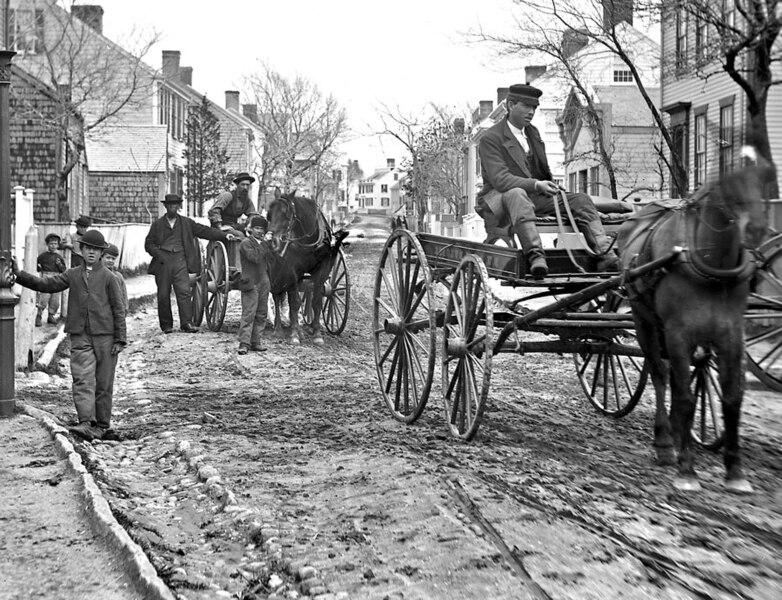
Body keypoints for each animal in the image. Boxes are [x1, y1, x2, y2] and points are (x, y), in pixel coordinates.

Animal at [266, 190, 346, 344]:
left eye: (287, 214)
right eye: (269, 215)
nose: (272, 242)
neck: (310, 240)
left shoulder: (322, 269)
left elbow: (316, 301)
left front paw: (317, 334)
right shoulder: (292, 270)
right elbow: (295, 302)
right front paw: (294, 335)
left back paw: (299, 329)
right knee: (277, 296)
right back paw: (279, 328)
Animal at [620, 152, 776, 494]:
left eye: (768, 180)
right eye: (731, 185)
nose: (758, 230)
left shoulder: (732, 334)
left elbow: (731, 398)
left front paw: (735, 471)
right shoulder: (679, 332)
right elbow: (685, 396)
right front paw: (687, 469)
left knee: (676, 376)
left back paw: (677, 434)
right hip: (643, 319)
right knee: (660, 374)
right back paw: (666, 442)